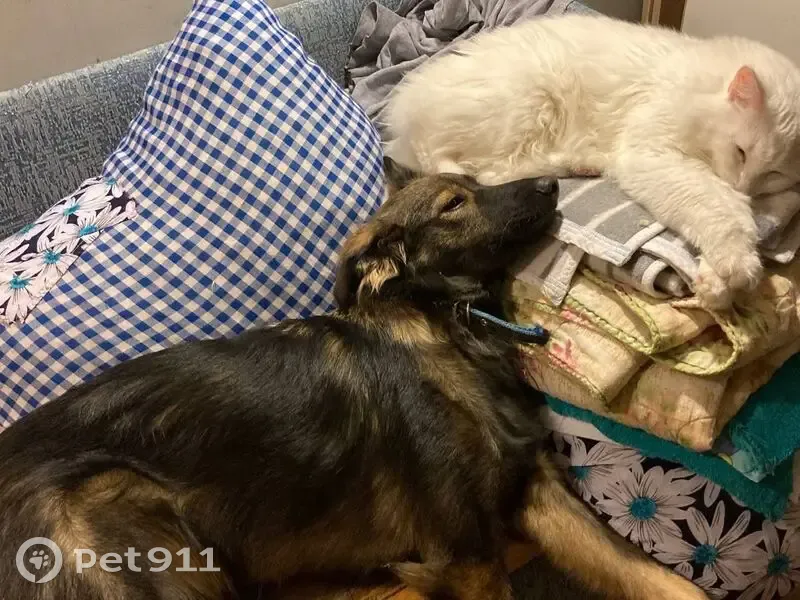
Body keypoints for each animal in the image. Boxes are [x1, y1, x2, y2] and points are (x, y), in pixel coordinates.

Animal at [0, 158, 706, 599]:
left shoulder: (532, 487)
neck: (450, 326)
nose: (554, 183)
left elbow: (653, 575)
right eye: (455, 203)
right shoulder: (468, 552)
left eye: (474, 182)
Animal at [384, 14, 800, 309]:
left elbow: (745, 216)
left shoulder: (782, 196)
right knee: (493, 170)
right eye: (741, 151)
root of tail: (405, 123)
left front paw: (716, 284)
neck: (700, 85)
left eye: (774, 172)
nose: (743, 184)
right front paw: (738, 267)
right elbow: (717, 206)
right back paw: (579, 164)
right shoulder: (650, 152)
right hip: (527, 102)